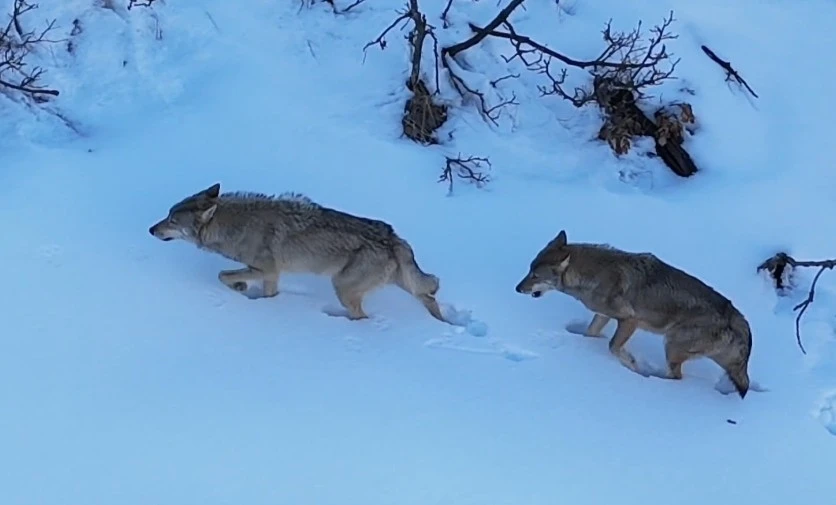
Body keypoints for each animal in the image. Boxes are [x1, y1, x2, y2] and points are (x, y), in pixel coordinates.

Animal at [147, 183, 448, 320]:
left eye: (172, 221)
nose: (150, 229)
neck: (234, 227)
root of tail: (393, 237)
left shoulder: (266, 269)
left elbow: (223, 275)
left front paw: (241, 287)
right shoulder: (272, 274)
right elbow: (264, 292)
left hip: (342, 287)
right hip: (402, 285)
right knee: (430, 293)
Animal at [516, 229, 752, 398]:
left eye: (535, 275)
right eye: (529, 270)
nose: (517, 289)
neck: (592, 276)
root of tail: (735, 315)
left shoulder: (630, 320)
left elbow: (613, 347)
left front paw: (632, 364)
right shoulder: (603, 315)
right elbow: (590, 334)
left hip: (671, 345)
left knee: (677, 378)